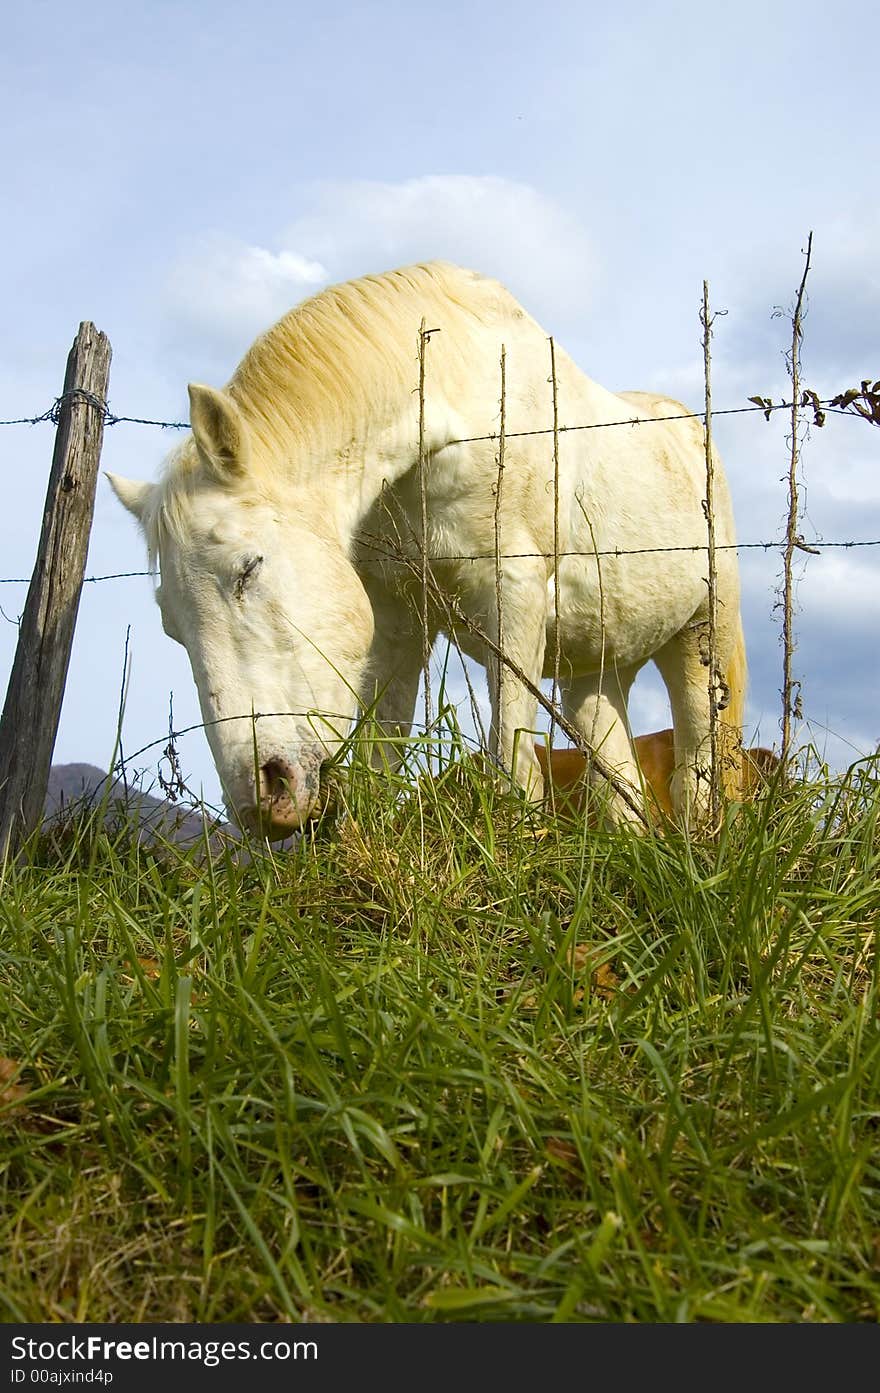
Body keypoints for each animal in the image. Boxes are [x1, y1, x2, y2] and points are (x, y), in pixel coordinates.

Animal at [106, 266, 746, 841]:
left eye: (248, 568)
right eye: (171, 627)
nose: (261, 798)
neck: (456, 414)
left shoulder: (513, 602)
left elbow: (513, 764)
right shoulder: (396, 618)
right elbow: (383, 754)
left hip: (703, 636)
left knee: (701, 773)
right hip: (595, 669)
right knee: (622, 789)